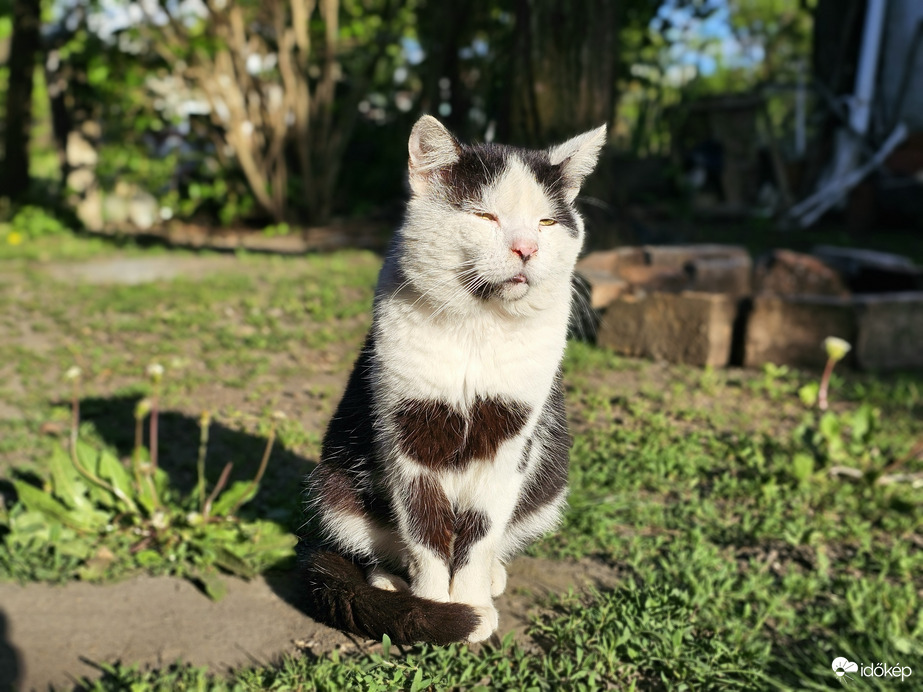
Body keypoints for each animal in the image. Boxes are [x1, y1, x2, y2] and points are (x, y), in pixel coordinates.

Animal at [304, 115, 608, 644]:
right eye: (485, 216)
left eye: (547, 223)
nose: (526, 248)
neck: (478, 330)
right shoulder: (406, 436)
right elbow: (424, 531)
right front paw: (434, 607)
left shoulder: (510, 441)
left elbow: (481, 531)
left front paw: (471, 603)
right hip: (333, 481)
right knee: (375, 542)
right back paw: (391, 583)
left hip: (549, 483)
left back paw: (492, 579)